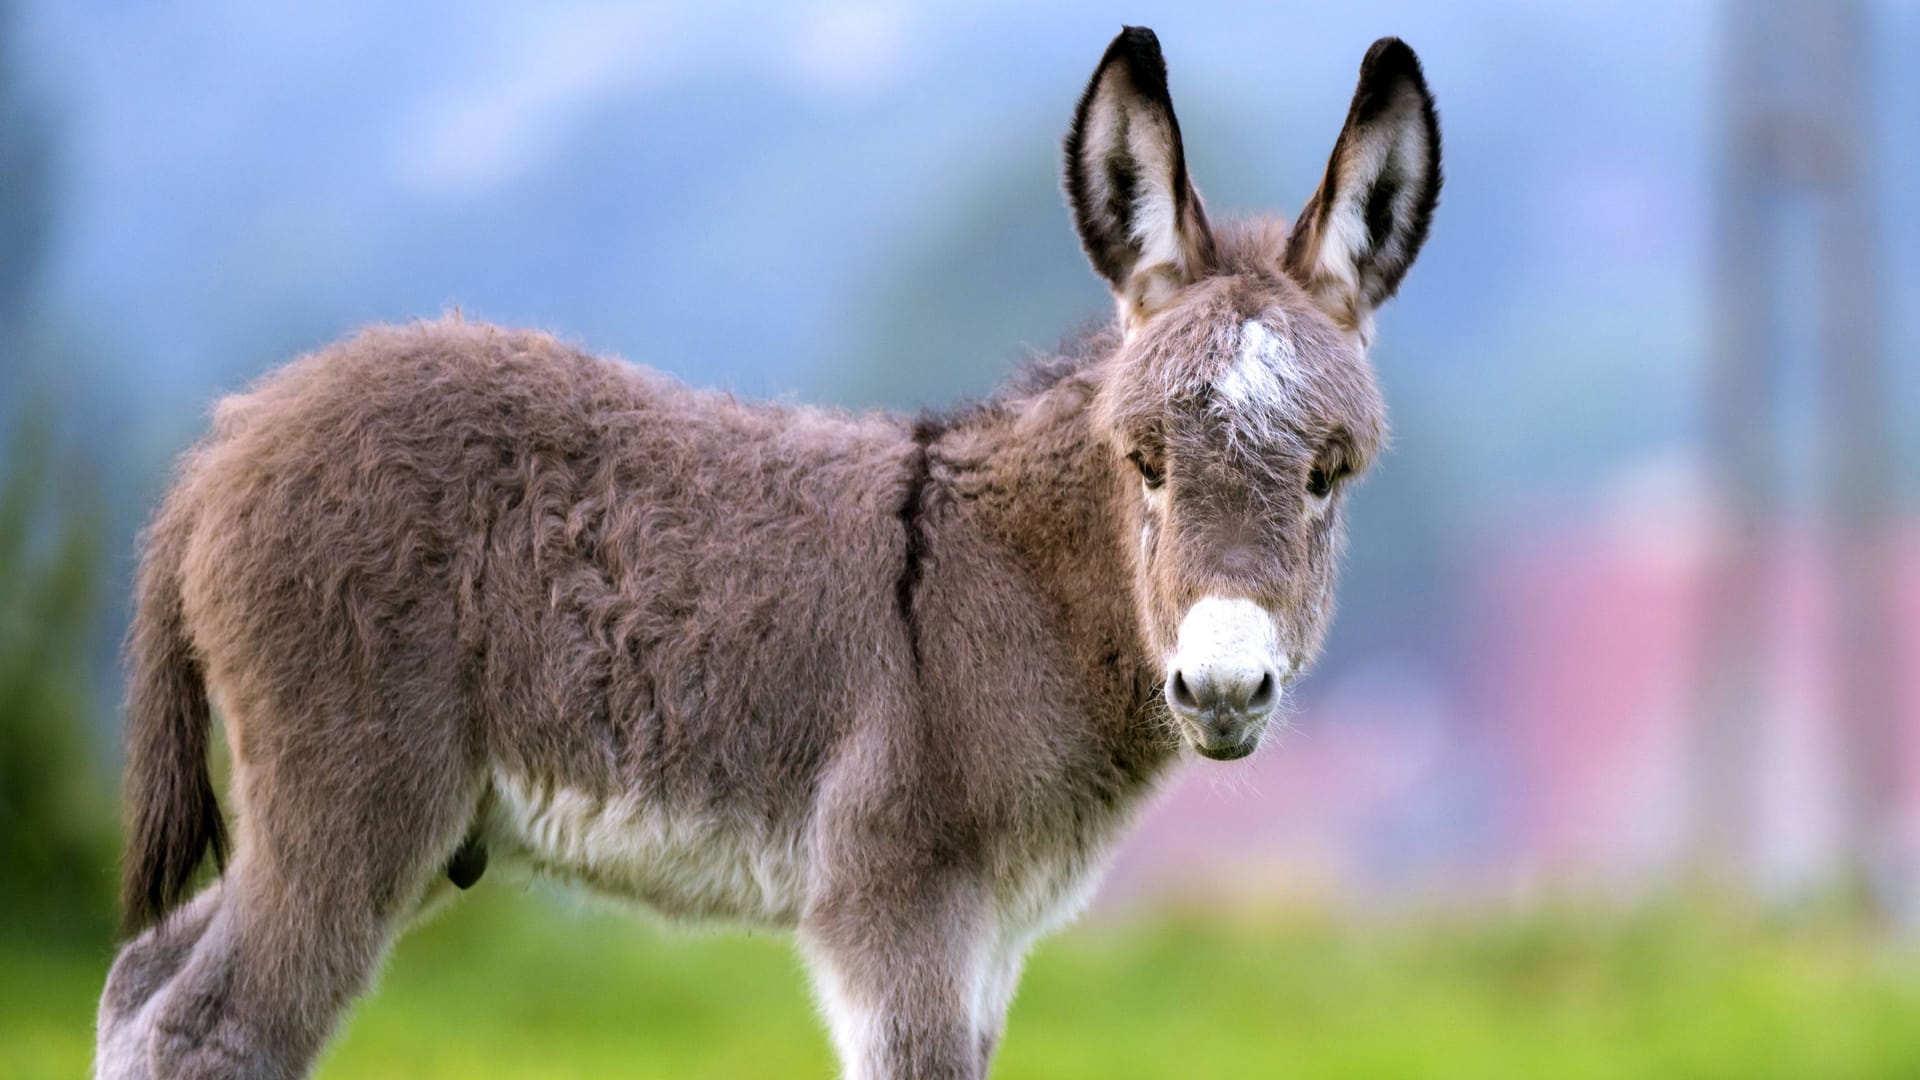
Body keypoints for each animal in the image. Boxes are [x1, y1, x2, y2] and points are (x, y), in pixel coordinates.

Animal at [93, 25, 1443, 1076]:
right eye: (1144, 462)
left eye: (1326, 475)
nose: (1221, 686)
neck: (1014, 583)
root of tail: (227, 441)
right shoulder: (894, 899)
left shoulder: (993, 940)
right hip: (353, 800)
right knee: (205, 1031)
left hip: (406, 826)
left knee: (140, 983)